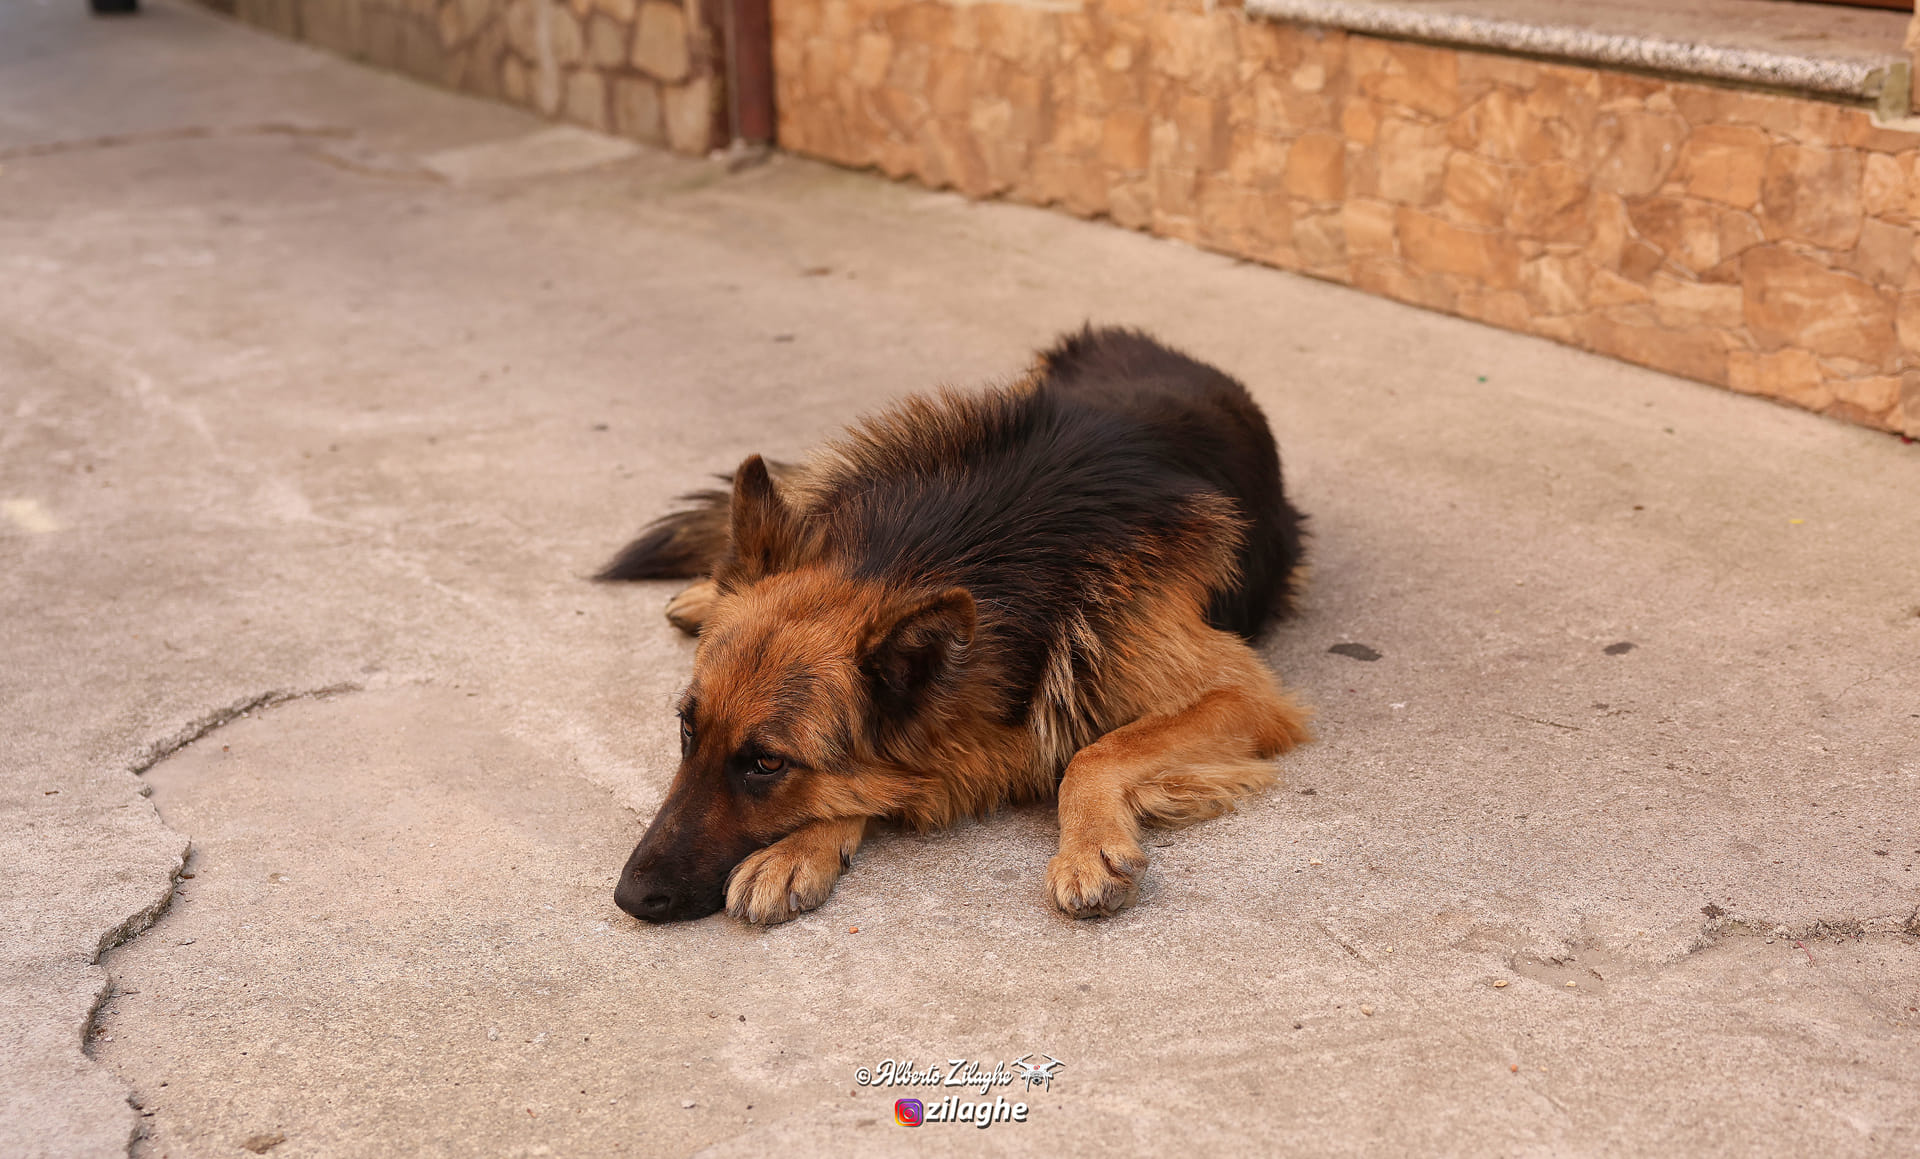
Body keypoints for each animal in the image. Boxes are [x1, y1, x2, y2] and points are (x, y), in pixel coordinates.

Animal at [606, 326, 1313, 924]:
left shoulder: (1245, 697)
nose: (631, 898)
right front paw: (800, 849)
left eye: (766, 763)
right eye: (687, 730)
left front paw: (1087, 848)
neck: (978, 550)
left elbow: (1093, 752)